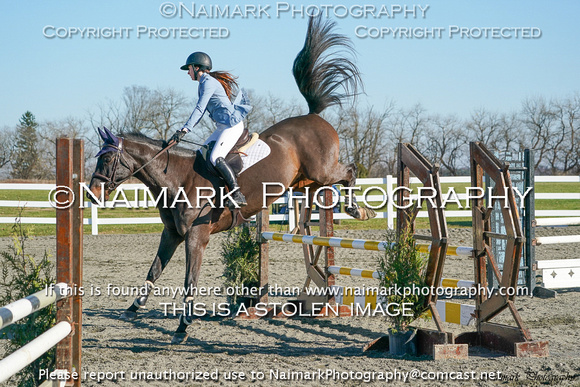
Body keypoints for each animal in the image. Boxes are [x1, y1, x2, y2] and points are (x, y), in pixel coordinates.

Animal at [87, 15, 376, 344]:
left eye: (106, 160)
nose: (92, 192)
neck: (177, 180)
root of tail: (313, 115)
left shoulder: (196, 237)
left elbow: (190, 280)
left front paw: (182, 327)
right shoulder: (171, 234)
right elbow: (154, 270)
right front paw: (133, 308)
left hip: (322, 170)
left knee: (350, 170)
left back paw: (357, 209)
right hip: (305, 181)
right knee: (321, 195)